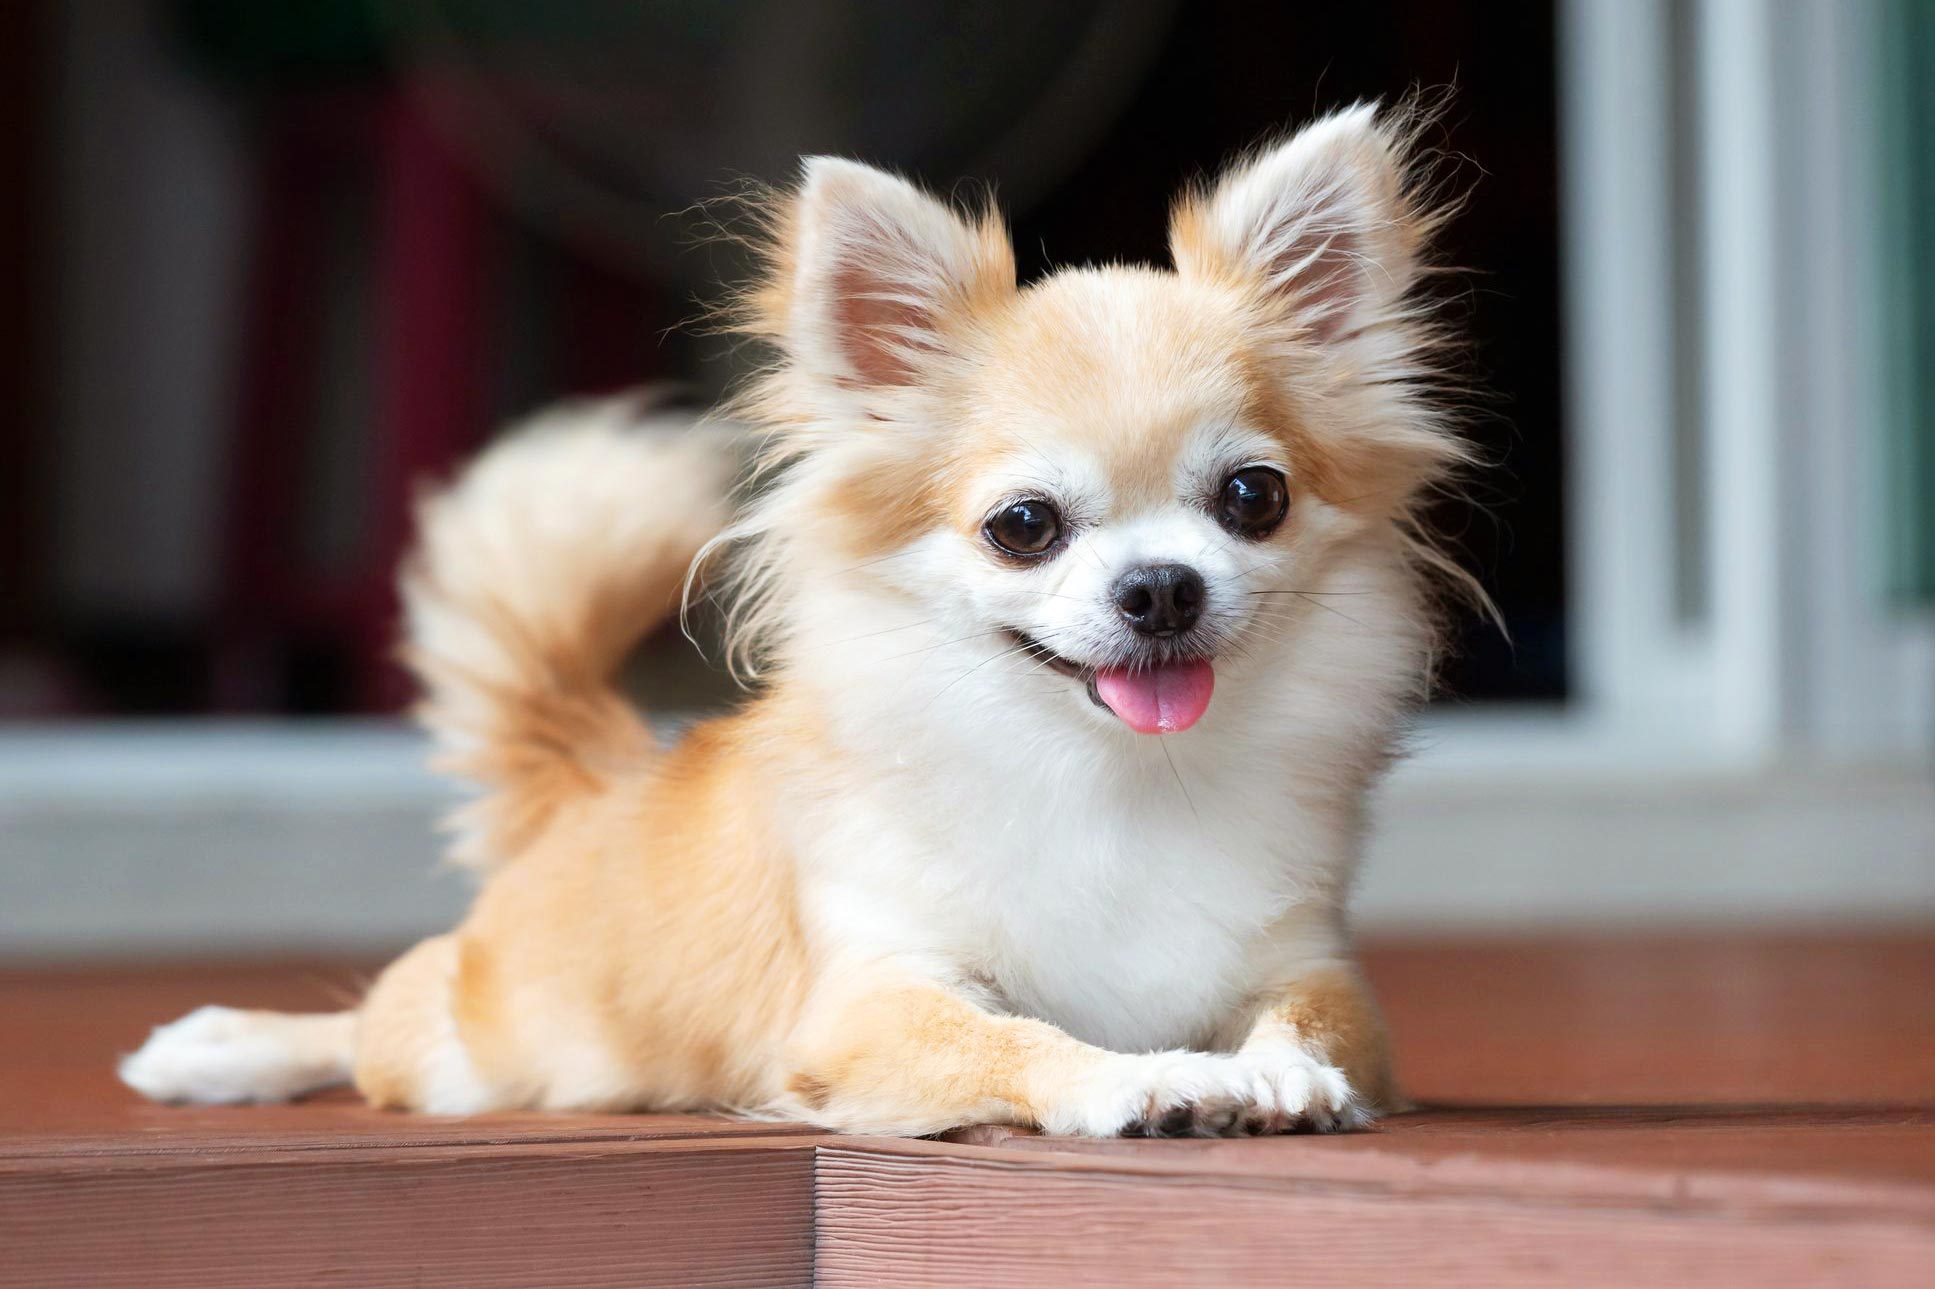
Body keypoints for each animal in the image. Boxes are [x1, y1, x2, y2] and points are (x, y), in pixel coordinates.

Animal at [120, 107, 1470, 1138]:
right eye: (1023, 525)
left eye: (1254, 497)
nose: (1160, 587)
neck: (1112, 776)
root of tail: (603, 776)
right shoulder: (876, 999)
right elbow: (1026, 1038)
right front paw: (1155, 1077)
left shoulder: (1312, 965)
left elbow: (1307, 1019)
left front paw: (1280, 1072)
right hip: (473, 1050)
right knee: (371, 1022)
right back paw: (221, 1046)